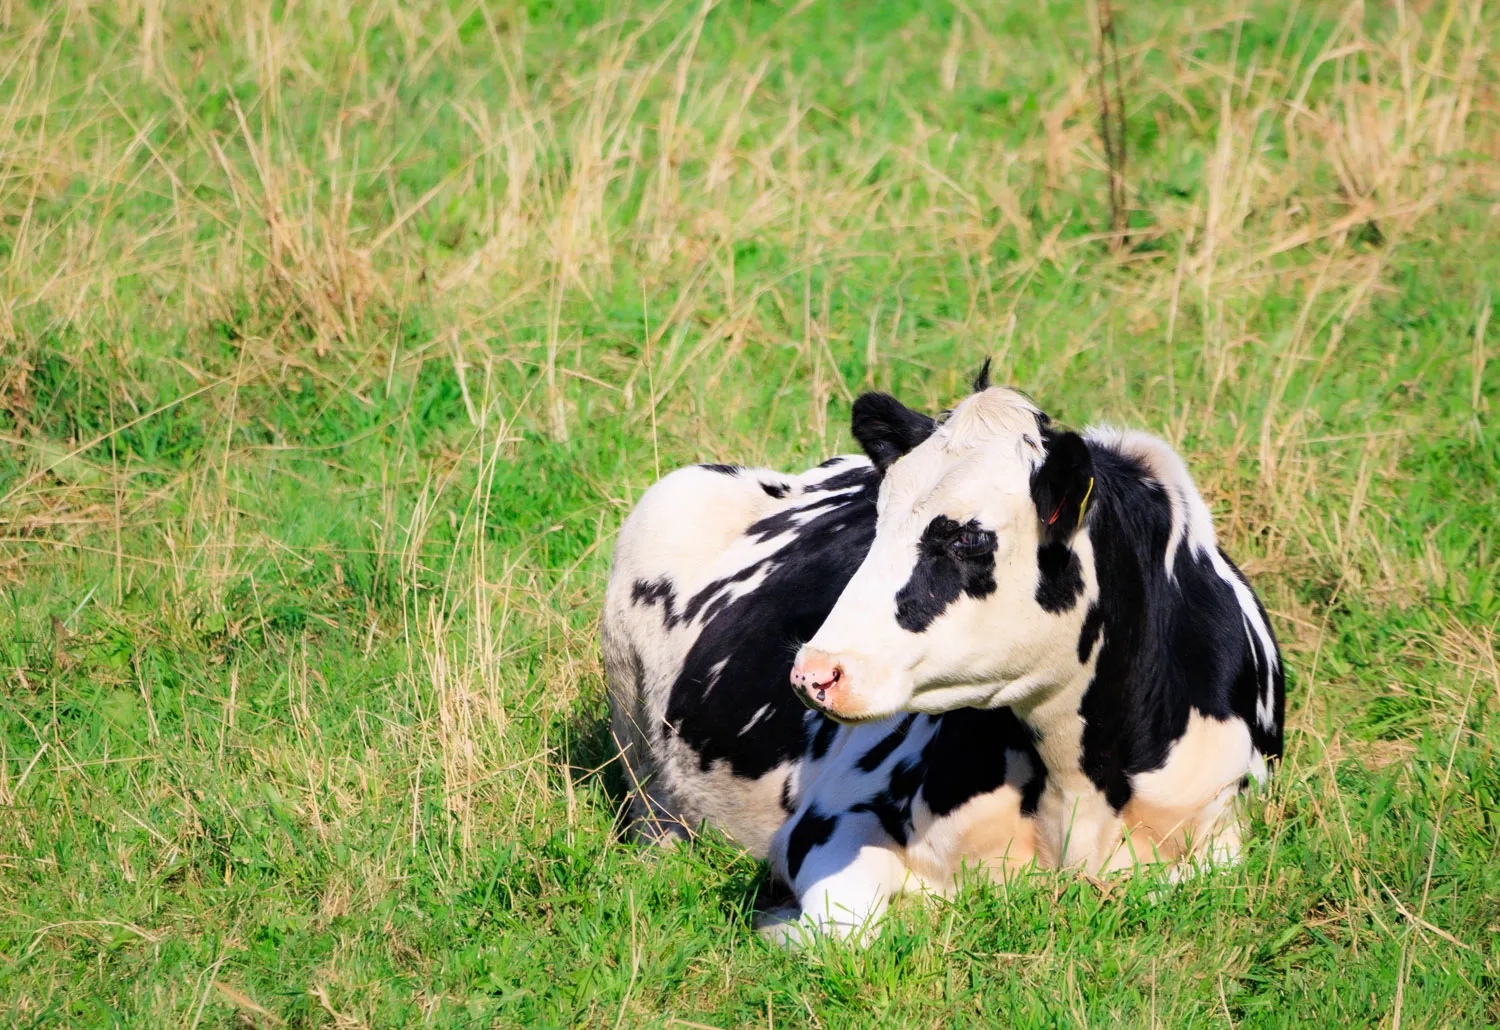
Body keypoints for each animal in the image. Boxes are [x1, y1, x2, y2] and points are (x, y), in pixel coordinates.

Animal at [603, 368, 1284, 941]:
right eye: (877, 523)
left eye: (970, 539)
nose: (815, 672)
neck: (1079, 779)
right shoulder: (832, 815)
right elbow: (846, 927)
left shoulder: (1223, 830)